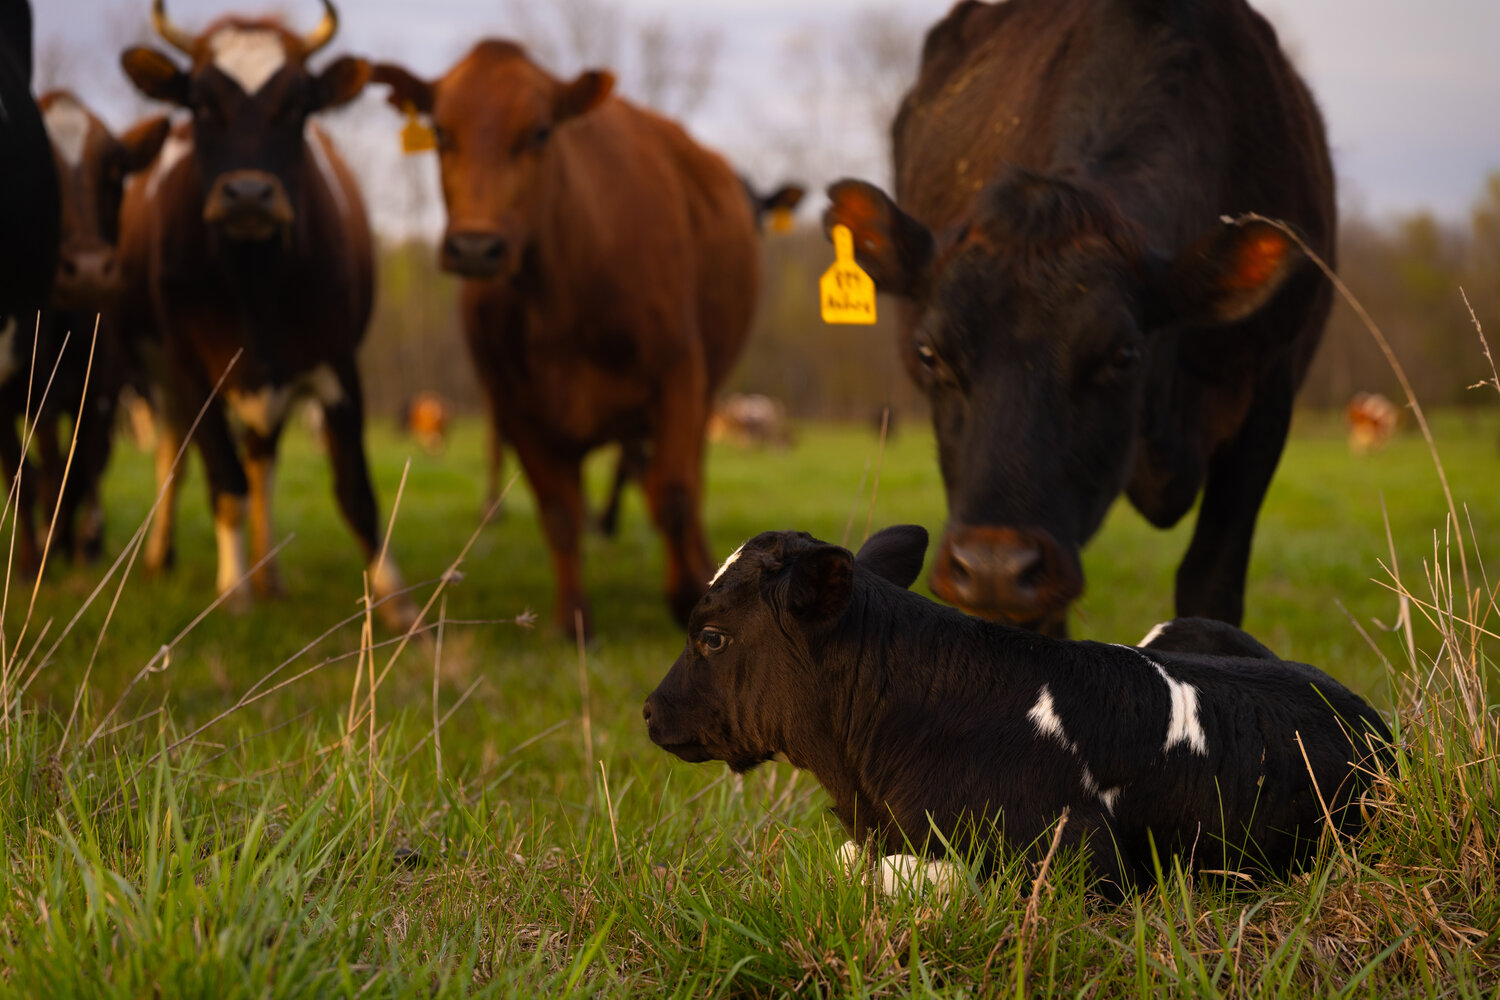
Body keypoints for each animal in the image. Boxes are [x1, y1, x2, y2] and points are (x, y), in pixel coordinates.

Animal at [115, 0, 415, 628]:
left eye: (297, 105)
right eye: (200, 103)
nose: (249, 195)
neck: (255, 281)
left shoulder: (336, 362)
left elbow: (356, 491)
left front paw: (399, 603)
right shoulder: (189, 367)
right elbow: (224, 482)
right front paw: (233, 593)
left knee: (263, 463)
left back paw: (269, 573)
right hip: (160, 374)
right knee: (176, 456)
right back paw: (164, 557)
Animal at [372, 41, 761, 637]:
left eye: (539, 133)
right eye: (440, 132)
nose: (476, 247)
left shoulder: (678, 374)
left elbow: (673, 497)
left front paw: (686, 596)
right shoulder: (516, 407)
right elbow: (559, 513)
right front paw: (574, 618)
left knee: (686, 483)